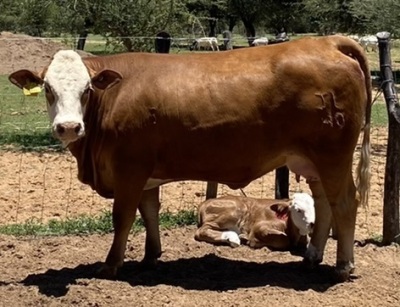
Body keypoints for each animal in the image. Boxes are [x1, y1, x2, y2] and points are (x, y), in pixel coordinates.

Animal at [8, 35, 372, 282]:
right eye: (48, 89)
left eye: (86, 90)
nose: (69, 127)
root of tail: (327, 41)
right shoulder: (145, 173)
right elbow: (150, 212)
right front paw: (151, 256)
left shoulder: (129, 169)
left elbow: (123, 217)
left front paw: (111, 265)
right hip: (312, 161)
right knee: (323, 202)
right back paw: (312, 256)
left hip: (333, 156)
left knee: (344, 202)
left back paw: (343, 266)